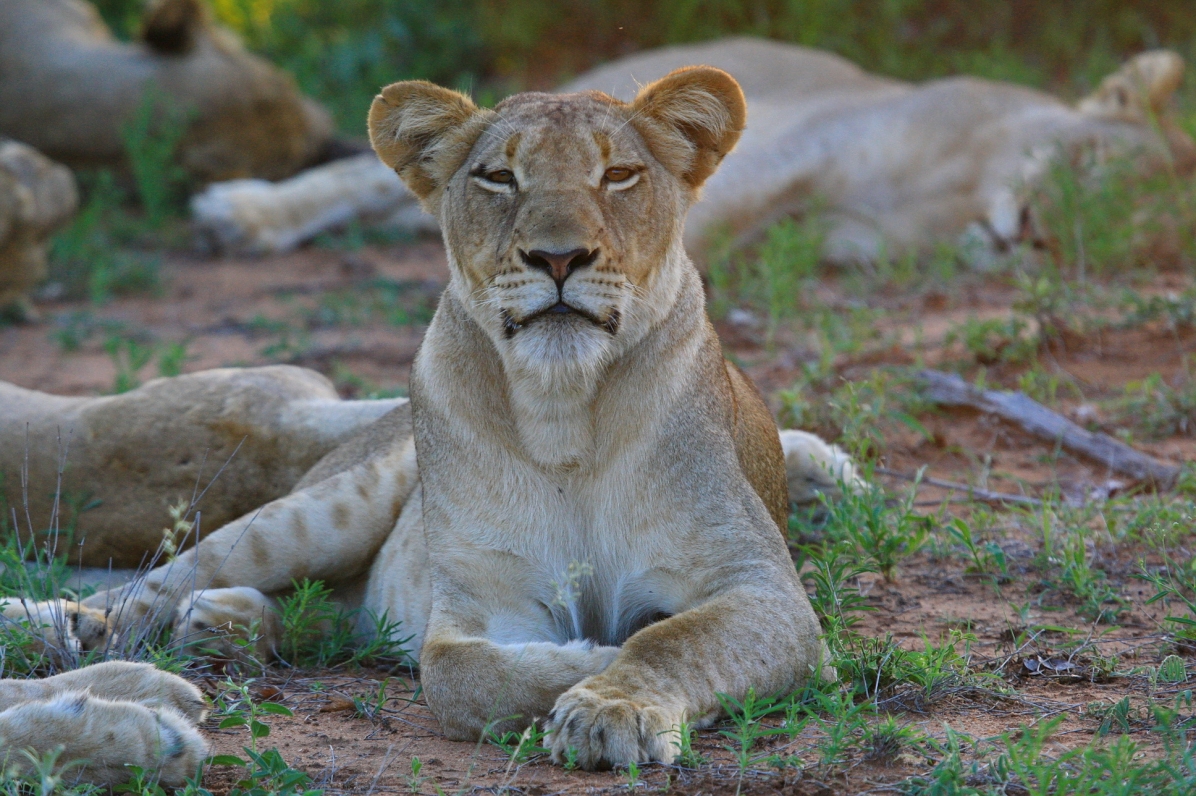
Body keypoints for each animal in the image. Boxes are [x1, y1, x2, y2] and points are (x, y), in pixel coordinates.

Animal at [3, 67, 855, 776]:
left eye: (619, 175)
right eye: (499, 177)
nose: (558, 258)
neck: (563, 412)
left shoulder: (763, 589)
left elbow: (674, 638)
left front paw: (613, 706)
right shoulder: (479, 604)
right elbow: (459, 673)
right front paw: (587, 661)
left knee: (316, 617)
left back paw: (223, 626)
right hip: (316, 513)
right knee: (150, 589)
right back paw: (93, 637)